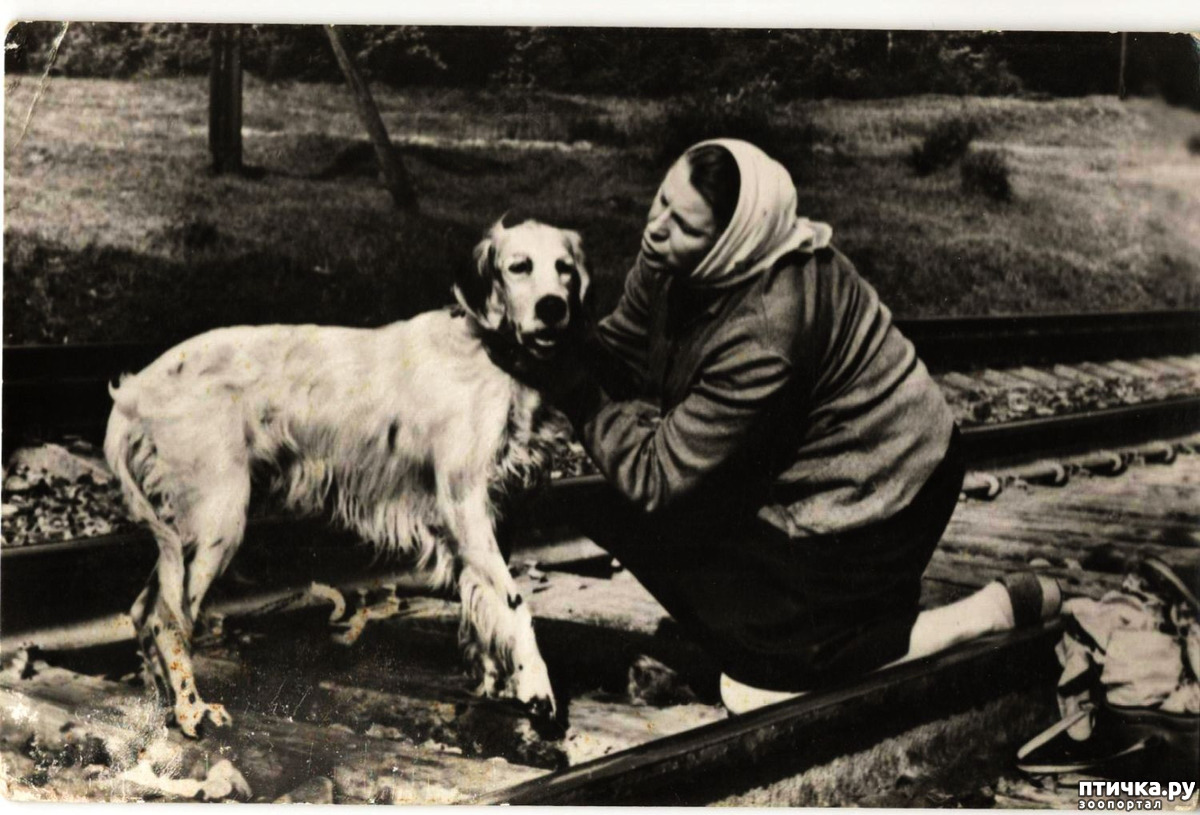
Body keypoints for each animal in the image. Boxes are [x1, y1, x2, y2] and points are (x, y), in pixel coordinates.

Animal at [105, 219, 588, 734]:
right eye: (519, 266)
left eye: (565, 268)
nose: (553, 307)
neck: (491, 354)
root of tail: (136, 389)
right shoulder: (465, 508)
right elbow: (516, 604)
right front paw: (537, 689)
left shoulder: (491, 515)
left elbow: (485, 604)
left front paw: (497, 676)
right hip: (217, 521)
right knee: (165, 616)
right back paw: (192, 707)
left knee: (146, 609)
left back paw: (163, 704)